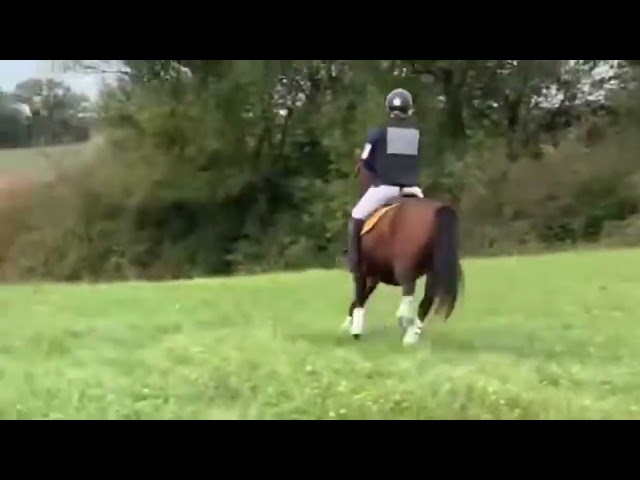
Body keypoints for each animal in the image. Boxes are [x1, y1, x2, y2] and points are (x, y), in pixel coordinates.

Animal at [342, 154, 464, 346]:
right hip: (433, 269)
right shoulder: (374, 276)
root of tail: (439, 210)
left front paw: (354, 328)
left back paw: (404, 321)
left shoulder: (364, 272)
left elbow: (359, 297)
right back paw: (410, 337)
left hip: (405, 266)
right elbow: (359, 298)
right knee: (426, 299)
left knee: (409, 289)